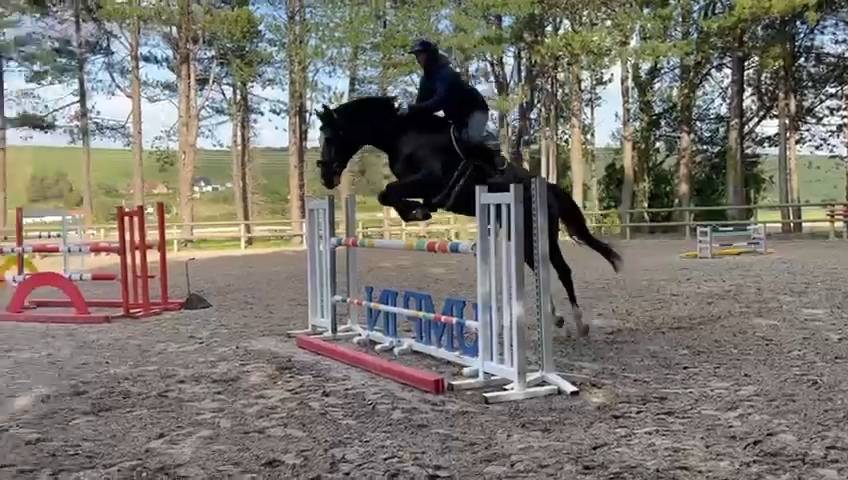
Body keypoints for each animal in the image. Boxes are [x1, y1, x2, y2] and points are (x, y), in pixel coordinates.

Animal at [314, 96, 621, 336]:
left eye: (330, 136)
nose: (326, 176)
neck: (400, 135)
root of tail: (550, 188)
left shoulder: (429, 179)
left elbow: (387, 192)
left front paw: (418, 211)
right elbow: (386, 195)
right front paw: (418, 211)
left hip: (541, 234)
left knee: (562, 270)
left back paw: (579, 324)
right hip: (522, 237)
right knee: (541, 269)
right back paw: (554, 317)